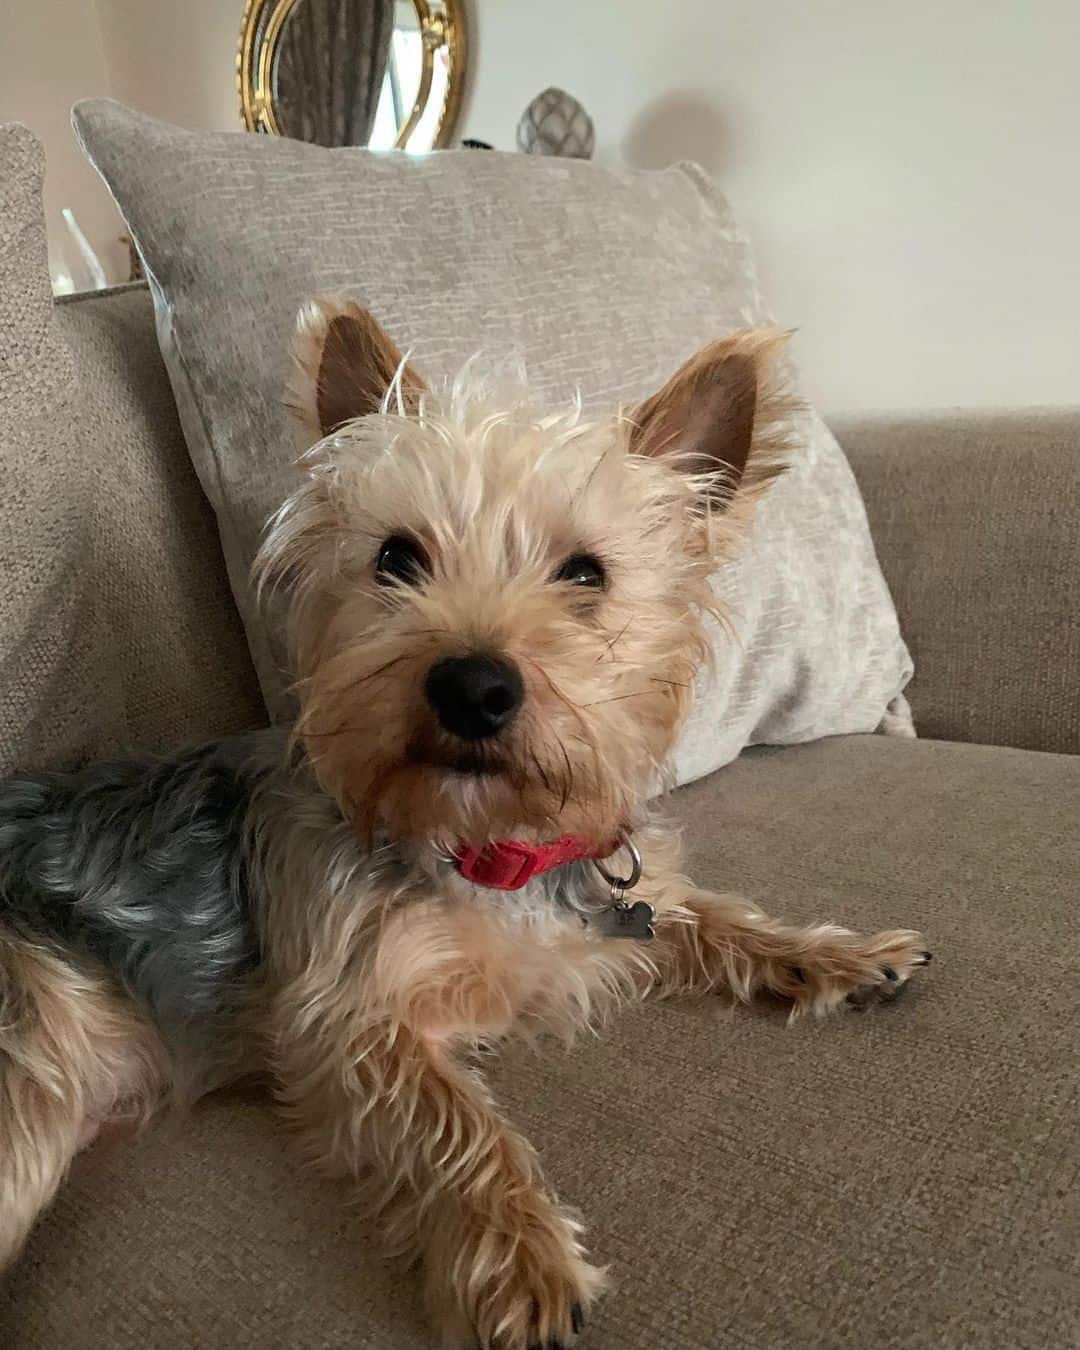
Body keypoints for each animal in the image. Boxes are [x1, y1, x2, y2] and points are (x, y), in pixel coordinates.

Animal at [0, 301, 928, 1344]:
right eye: (396, 558)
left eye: (586, 574)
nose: (473, 685)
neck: (487, 844)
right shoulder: (346, 1015)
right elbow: (458, 1125)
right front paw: (526, 1261)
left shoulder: (612, 908)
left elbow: (716, 917)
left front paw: (835, 955)